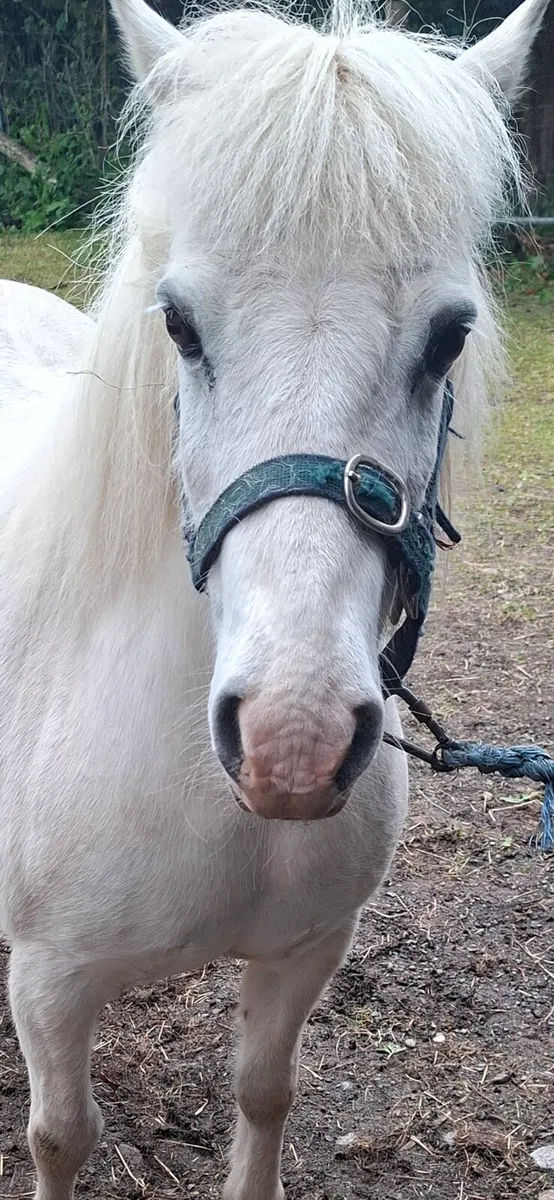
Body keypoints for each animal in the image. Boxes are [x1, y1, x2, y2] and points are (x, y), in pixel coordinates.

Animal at [0, 1, 548, 1196]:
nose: (291, 745)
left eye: (448, 335)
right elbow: (62, 1138)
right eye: (179, 324)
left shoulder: (303, 956)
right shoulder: (51, 983)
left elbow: (264, 1095)